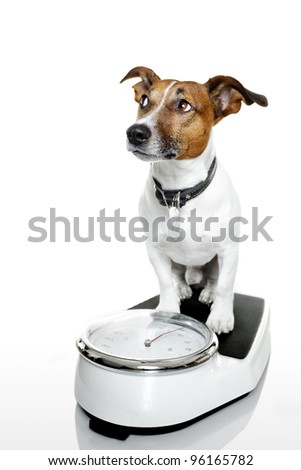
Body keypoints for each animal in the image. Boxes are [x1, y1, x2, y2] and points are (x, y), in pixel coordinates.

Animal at [120, 68, 266, 336]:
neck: (178, 192)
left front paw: (221, 317)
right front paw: (168, 312)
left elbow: (225, 286)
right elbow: (165, 281)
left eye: (183, 105)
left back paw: (207, 292)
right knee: (178, 275)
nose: (134, 132)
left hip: (215, 261)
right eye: (144, 100)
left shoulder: (228, 250)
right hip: (176, 260)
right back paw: (183, 288)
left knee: (214, 279)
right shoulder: (154, 249)